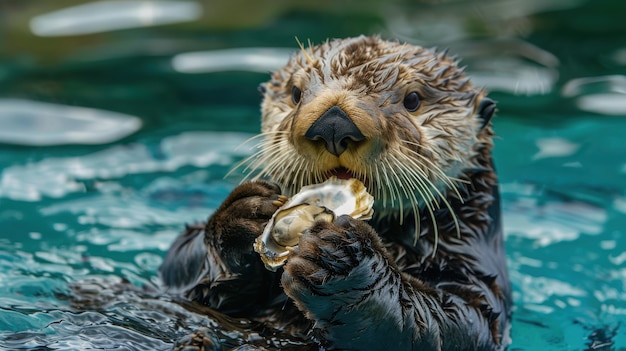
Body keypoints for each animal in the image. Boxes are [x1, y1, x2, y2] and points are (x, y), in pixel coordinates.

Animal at [161, 36, 512, 351]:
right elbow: (178, 262)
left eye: (413, 100)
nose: (333, 124)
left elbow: (447, 322)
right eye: (295, 93)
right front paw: (243, 216)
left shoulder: (474, 277)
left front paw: (340, 259)